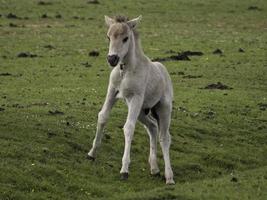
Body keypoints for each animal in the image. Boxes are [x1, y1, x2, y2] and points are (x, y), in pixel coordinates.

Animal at [88, 15, 176, 184]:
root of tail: (164, 71)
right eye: (108, 37)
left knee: (164, 137)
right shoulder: (112, 91)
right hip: (142, 111)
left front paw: (124, 170)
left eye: (125, 38)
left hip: (163, 109)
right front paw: (91, 154)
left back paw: (169, 177)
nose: (112, 59)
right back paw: (154, 168)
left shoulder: (136, 98)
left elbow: (128, 127)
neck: (125, 70)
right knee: (153, 127)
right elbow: (102, 116)